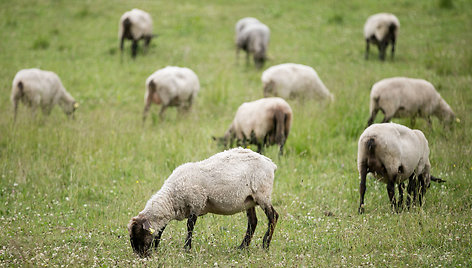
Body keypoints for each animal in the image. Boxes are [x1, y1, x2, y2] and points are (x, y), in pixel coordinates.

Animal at [127, 148, 278, 256]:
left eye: (138, 234)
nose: (140, 255)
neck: (172, 197)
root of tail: (270, 162)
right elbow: (161, 229)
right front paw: (156, 248)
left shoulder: (196, 203)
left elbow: (190, 226)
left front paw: (187, 249)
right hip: (249, 200)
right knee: (253, 221)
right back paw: (242, 247)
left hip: (262, 194)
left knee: (273, 216)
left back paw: (265, 245)